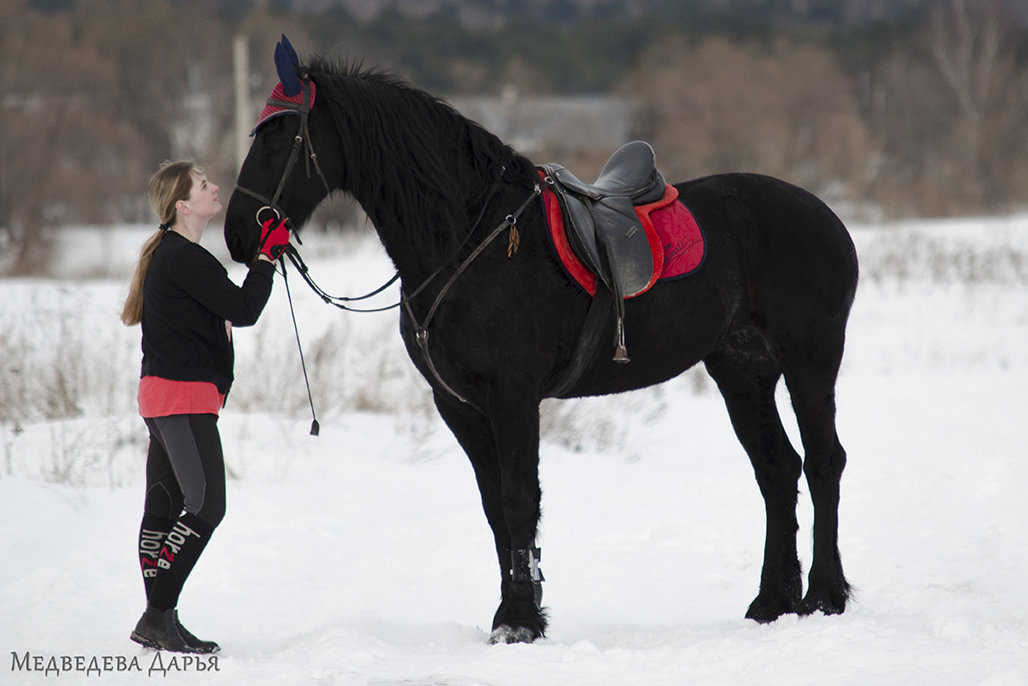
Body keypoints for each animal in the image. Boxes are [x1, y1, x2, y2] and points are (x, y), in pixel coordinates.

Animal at [227, 41, 859, 645]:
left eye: (282, 135)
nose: (237, 234)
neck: (468, 241)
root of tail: (826, 215)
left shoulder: (513, 398)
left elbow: (518, 500)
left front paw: (519, 621)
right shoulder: (458, 405)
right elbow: (495, 509)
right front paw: (519, 609)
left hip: (810, 359)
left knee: (824, 461)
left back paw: (825, 596)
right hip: (741, 370)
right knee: (777, 469)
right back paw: (772, 601)